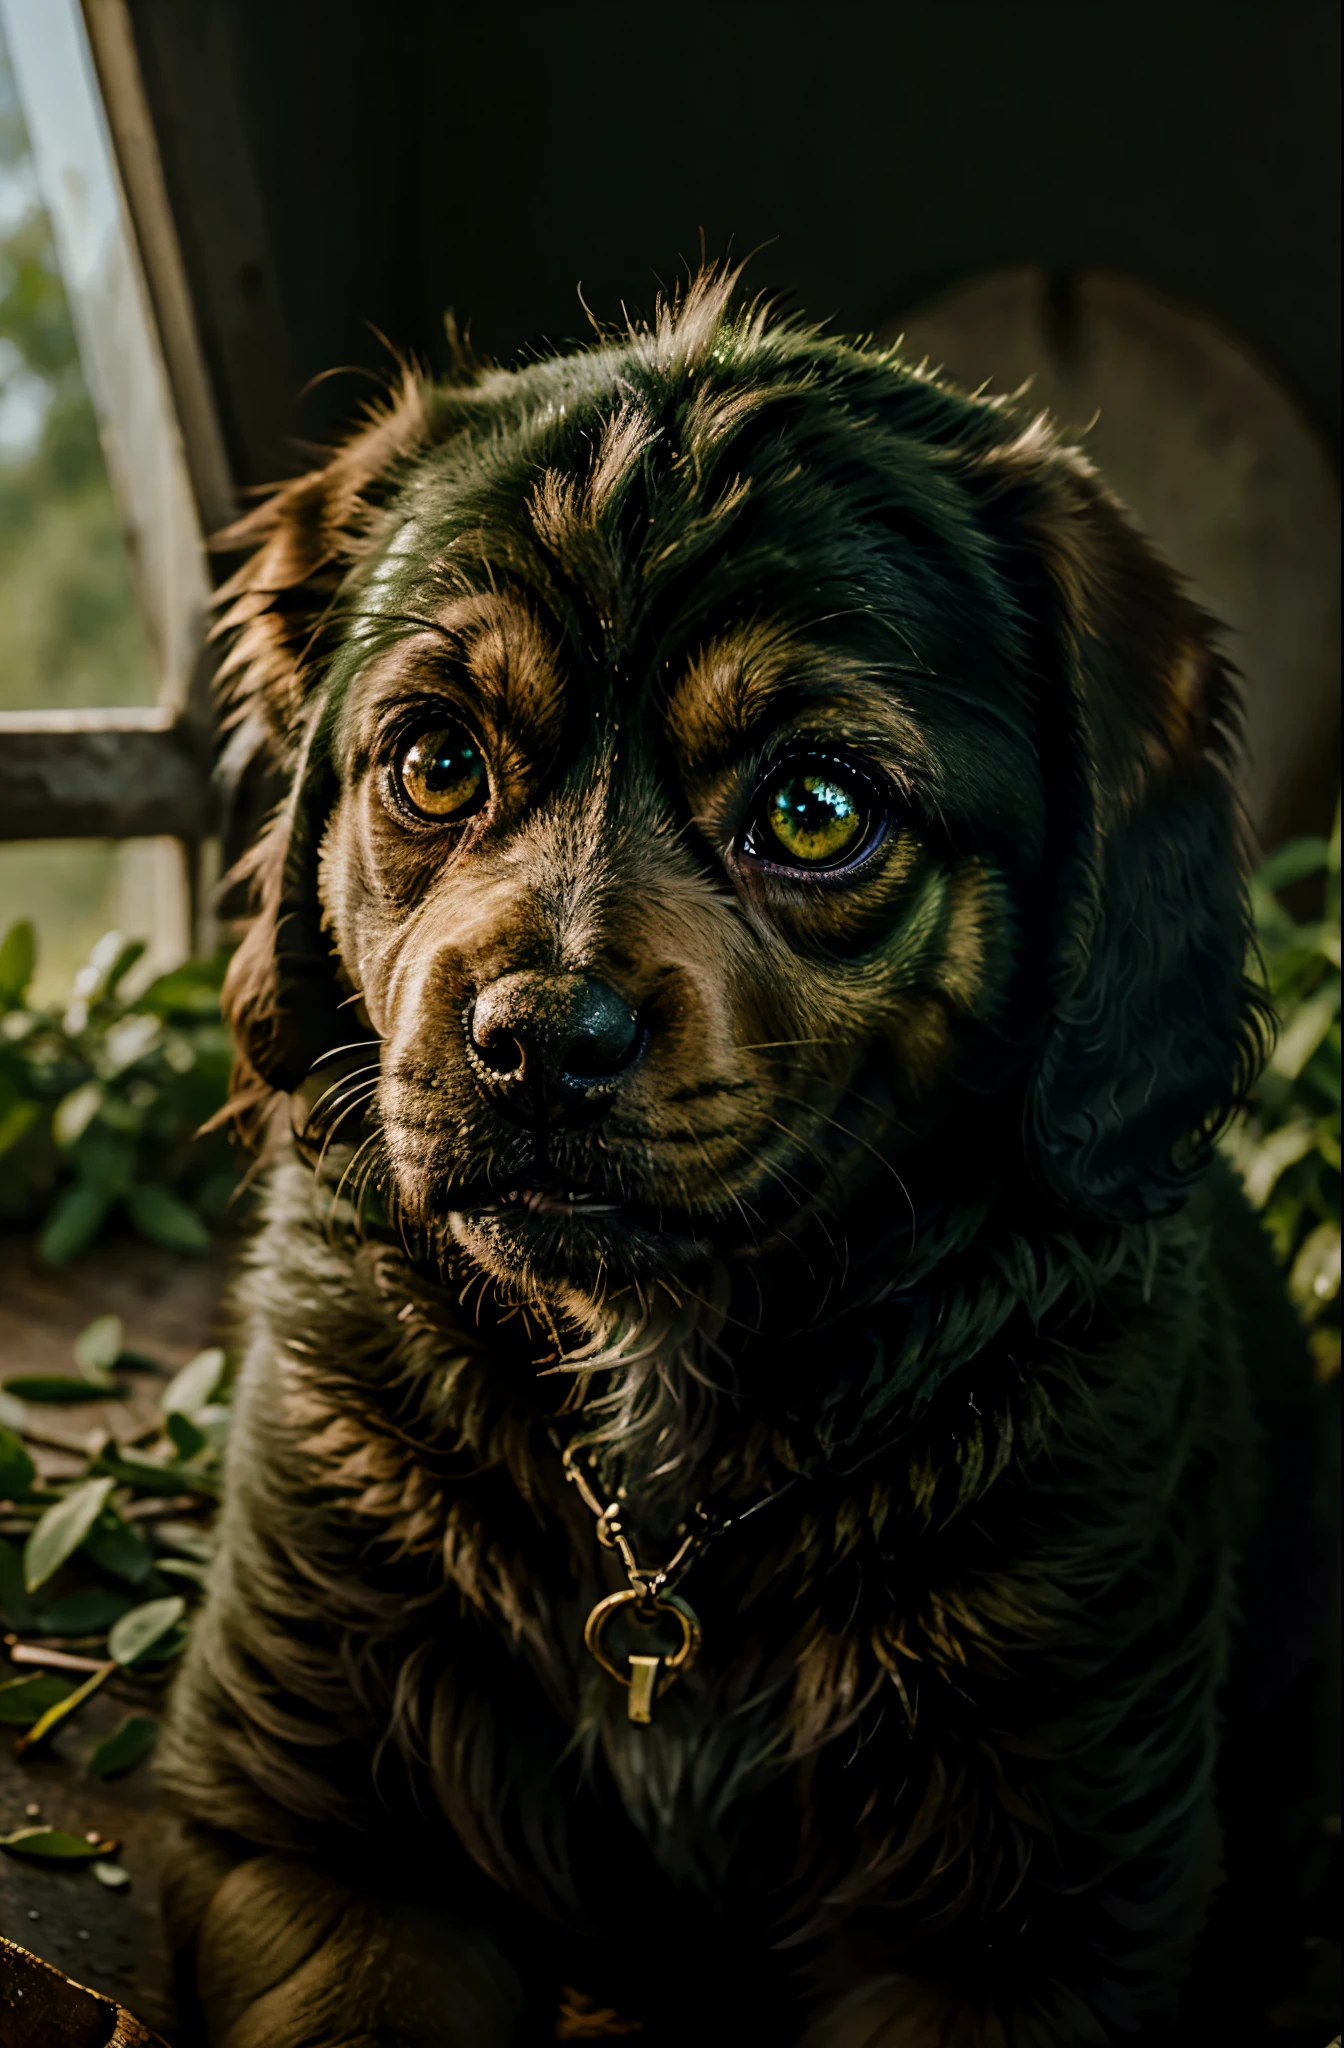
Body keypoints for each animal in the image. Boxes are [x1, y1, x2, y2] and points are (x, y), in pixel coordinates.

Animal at [159, 276, 1319, 2048]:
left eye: (818, 807)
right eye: (434, 763)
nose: (538, 1040)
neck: (665, 1478)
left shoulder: (1027, 1928)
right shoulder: (322, 1838)